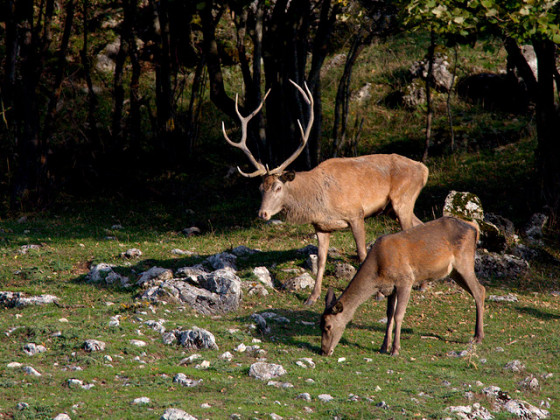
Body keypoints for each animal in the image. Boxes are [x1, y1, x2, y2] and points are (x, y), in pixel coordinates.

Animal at [223, 81, 428, 306]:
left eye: (278, 187)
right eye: (260, 189)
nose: (263, 214)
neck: (321, 201)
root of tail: (423, 169)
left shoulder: (356, 213)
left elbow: (362, 253)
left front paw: (377, 294)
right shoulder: (320, 226)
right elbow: (321, 260)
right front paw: (312, 297)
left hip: (403, 199)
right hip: (393, 208)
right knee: (421, 225)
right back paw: (424, 284)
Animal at [320, 218, 486, 356]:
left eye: (328, 326)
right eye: (321, 323)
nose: (324, 351)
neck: (378, 272)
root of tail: (474, 227)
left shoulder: (406, 280)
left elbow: (399, 315)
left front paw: (395, 349)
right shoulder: (390, 288)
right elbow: (389, 315)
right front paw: (383, 346)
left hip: (464, 262)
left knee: (479, 291)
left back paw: (478, 337)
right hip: (454, 272)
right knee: (480, 289)